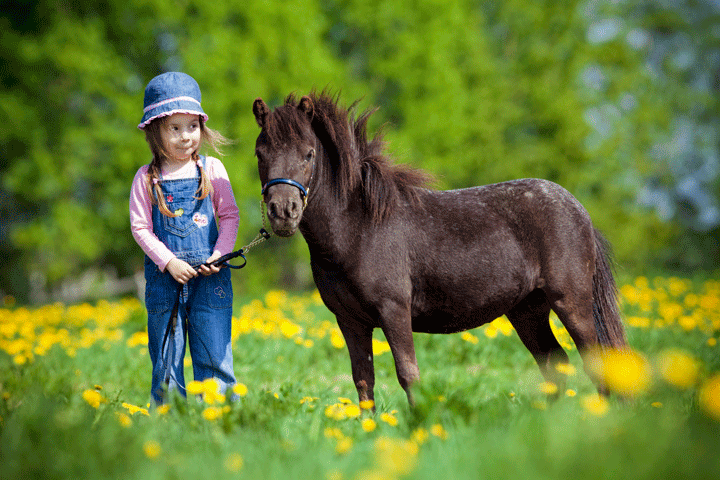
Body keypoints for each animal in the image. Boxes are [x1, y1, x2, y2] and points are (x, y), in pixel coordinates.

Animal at [252, 91, 627, 406]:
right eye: (260, 153)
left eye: (309, 153)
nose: (283, 212)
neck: (359, 228)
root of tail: (577, 208)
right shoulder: (350, 321)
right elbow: (363, 380)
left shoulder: (394, 311)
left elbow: (408, 375)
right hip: (527, 310)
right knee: (554, 362)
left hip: (571, 302)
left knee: (596, 361)